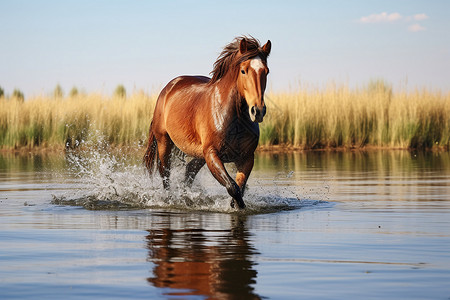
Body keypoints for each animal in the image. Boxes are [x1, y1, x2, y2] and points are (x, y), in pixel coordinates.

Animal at [144, 35, 270, 209]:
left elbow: (240, 187)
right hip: (164, 142)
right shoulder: (212, 154)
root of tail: (168, 88)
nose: (257, 111)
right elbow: (233, 187)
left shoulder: (246, 158)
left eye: (266, 71)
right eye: (244, 70)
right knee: (165, 173)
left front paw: (236, 206)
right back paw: (170, 200)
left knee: (189, 170)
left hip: (199, 154)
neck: (234, 119)